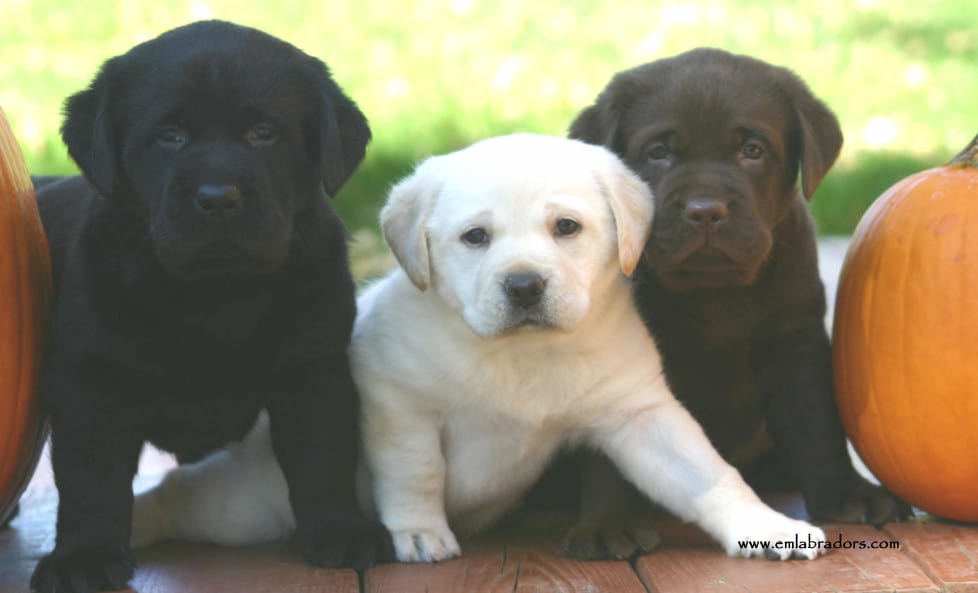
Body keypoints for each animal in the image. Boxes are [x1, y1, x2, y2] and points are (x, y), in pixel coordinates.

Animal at [34, 18, 392, 592]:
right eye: (170, 135)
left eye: (263, 133)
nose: (217, 197)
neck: (216, 295)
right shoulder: (92, 384)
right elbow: (91, 478)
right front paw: (83, 558)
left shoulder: (315, 371)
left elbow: (323, 455)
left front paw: (341, 530)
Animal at [127, 134, 832, 564]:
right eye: (475, 238)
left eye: (566, 227)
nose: (523, 286)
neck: (520, 356)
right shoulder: (397, 401)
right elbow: (416, 471)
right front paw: (418, 532)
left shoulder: (641, 416)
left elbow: (709, 475)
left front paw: (765, 527)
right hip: (248, 504)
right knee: (178, 495)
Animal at [560, 48, 912, 556]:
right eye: (658, 152)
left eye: (752, 151)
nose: (705, 211)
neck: (716, 294)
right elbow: (609, 453)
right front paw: (609, 522)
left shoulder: (795, 343)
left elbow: (817, 424)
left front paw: (848, 495)